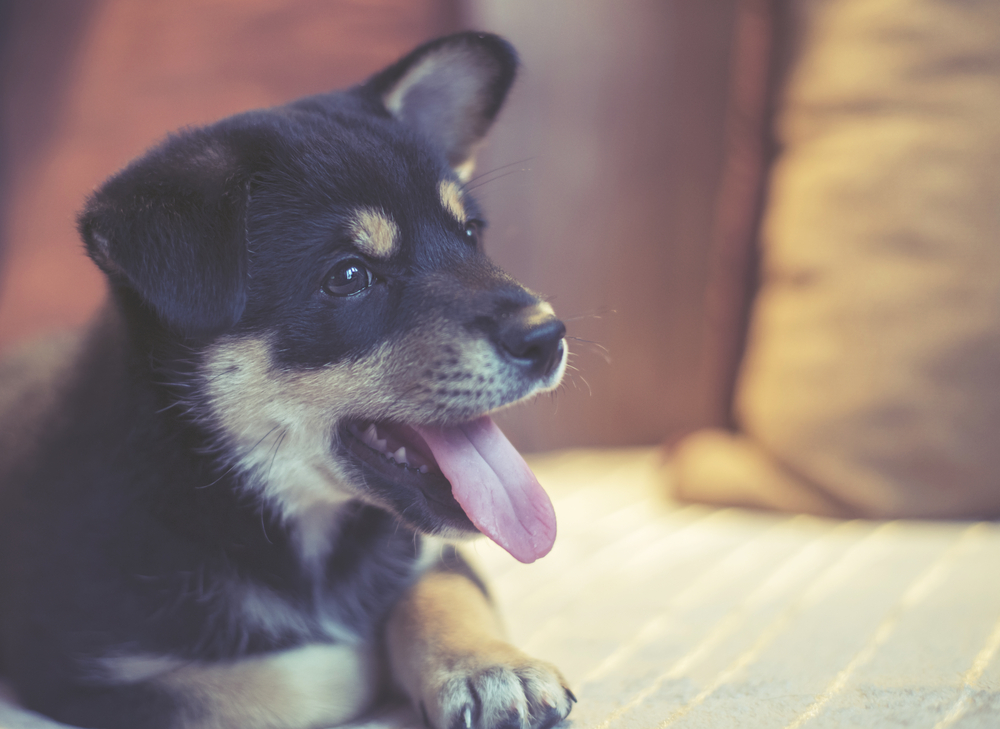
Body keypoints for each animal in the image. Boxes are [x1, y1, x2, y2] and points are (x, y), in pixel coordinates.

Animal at [0, 32, 576, 728]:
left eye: (469, 233)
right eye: (349, 277)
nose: (547, 335)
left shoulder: (431, 554)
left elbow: (439, 588)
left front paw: (490, 667)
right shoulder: (83, 671)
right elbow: (297, 680)